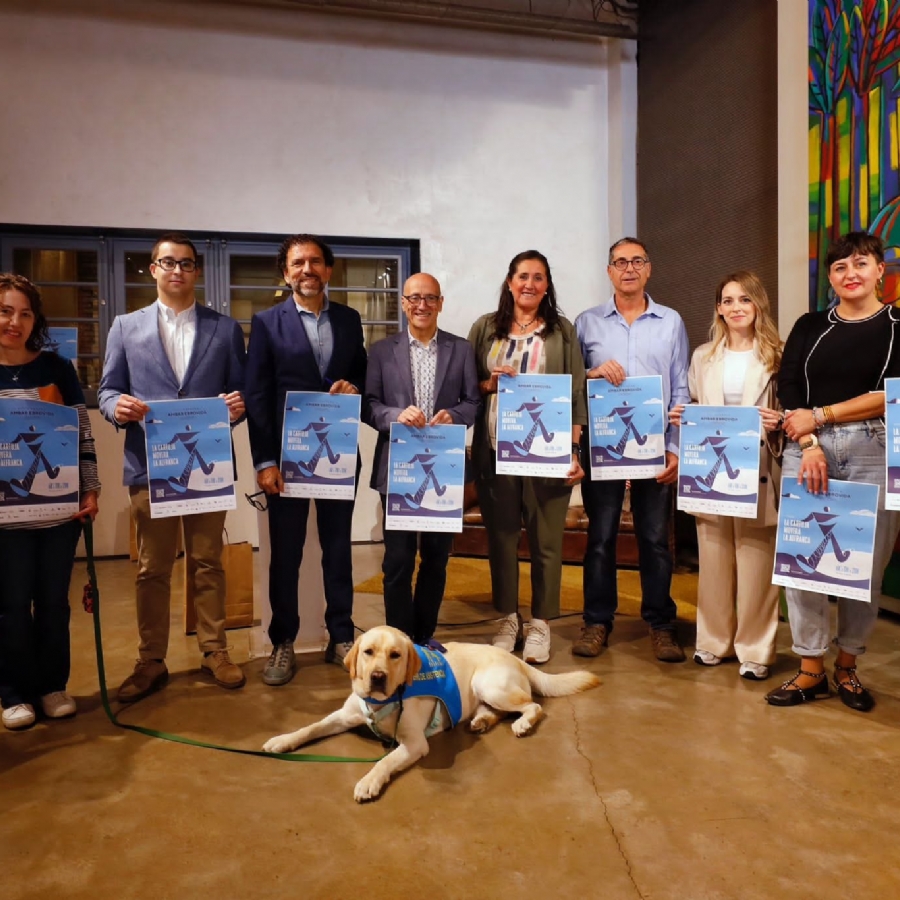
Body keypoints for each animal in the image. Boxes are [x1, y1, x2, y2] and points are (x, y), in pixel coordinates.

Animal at [262, 624, 596, 800]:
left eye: (395, 655)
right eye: (368, 652)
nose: (378, 677)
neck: (380, 702)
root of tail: (515, 657)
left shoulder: (413, 743)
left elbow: (385, 761)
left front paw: (369, 780)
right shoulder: (343, 716)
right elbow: (311, 727)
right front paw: (282, 740)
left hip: (489, 684)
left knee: (533, 705)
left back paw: (523, 724)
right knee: (498, 710)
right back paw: (481, 721)